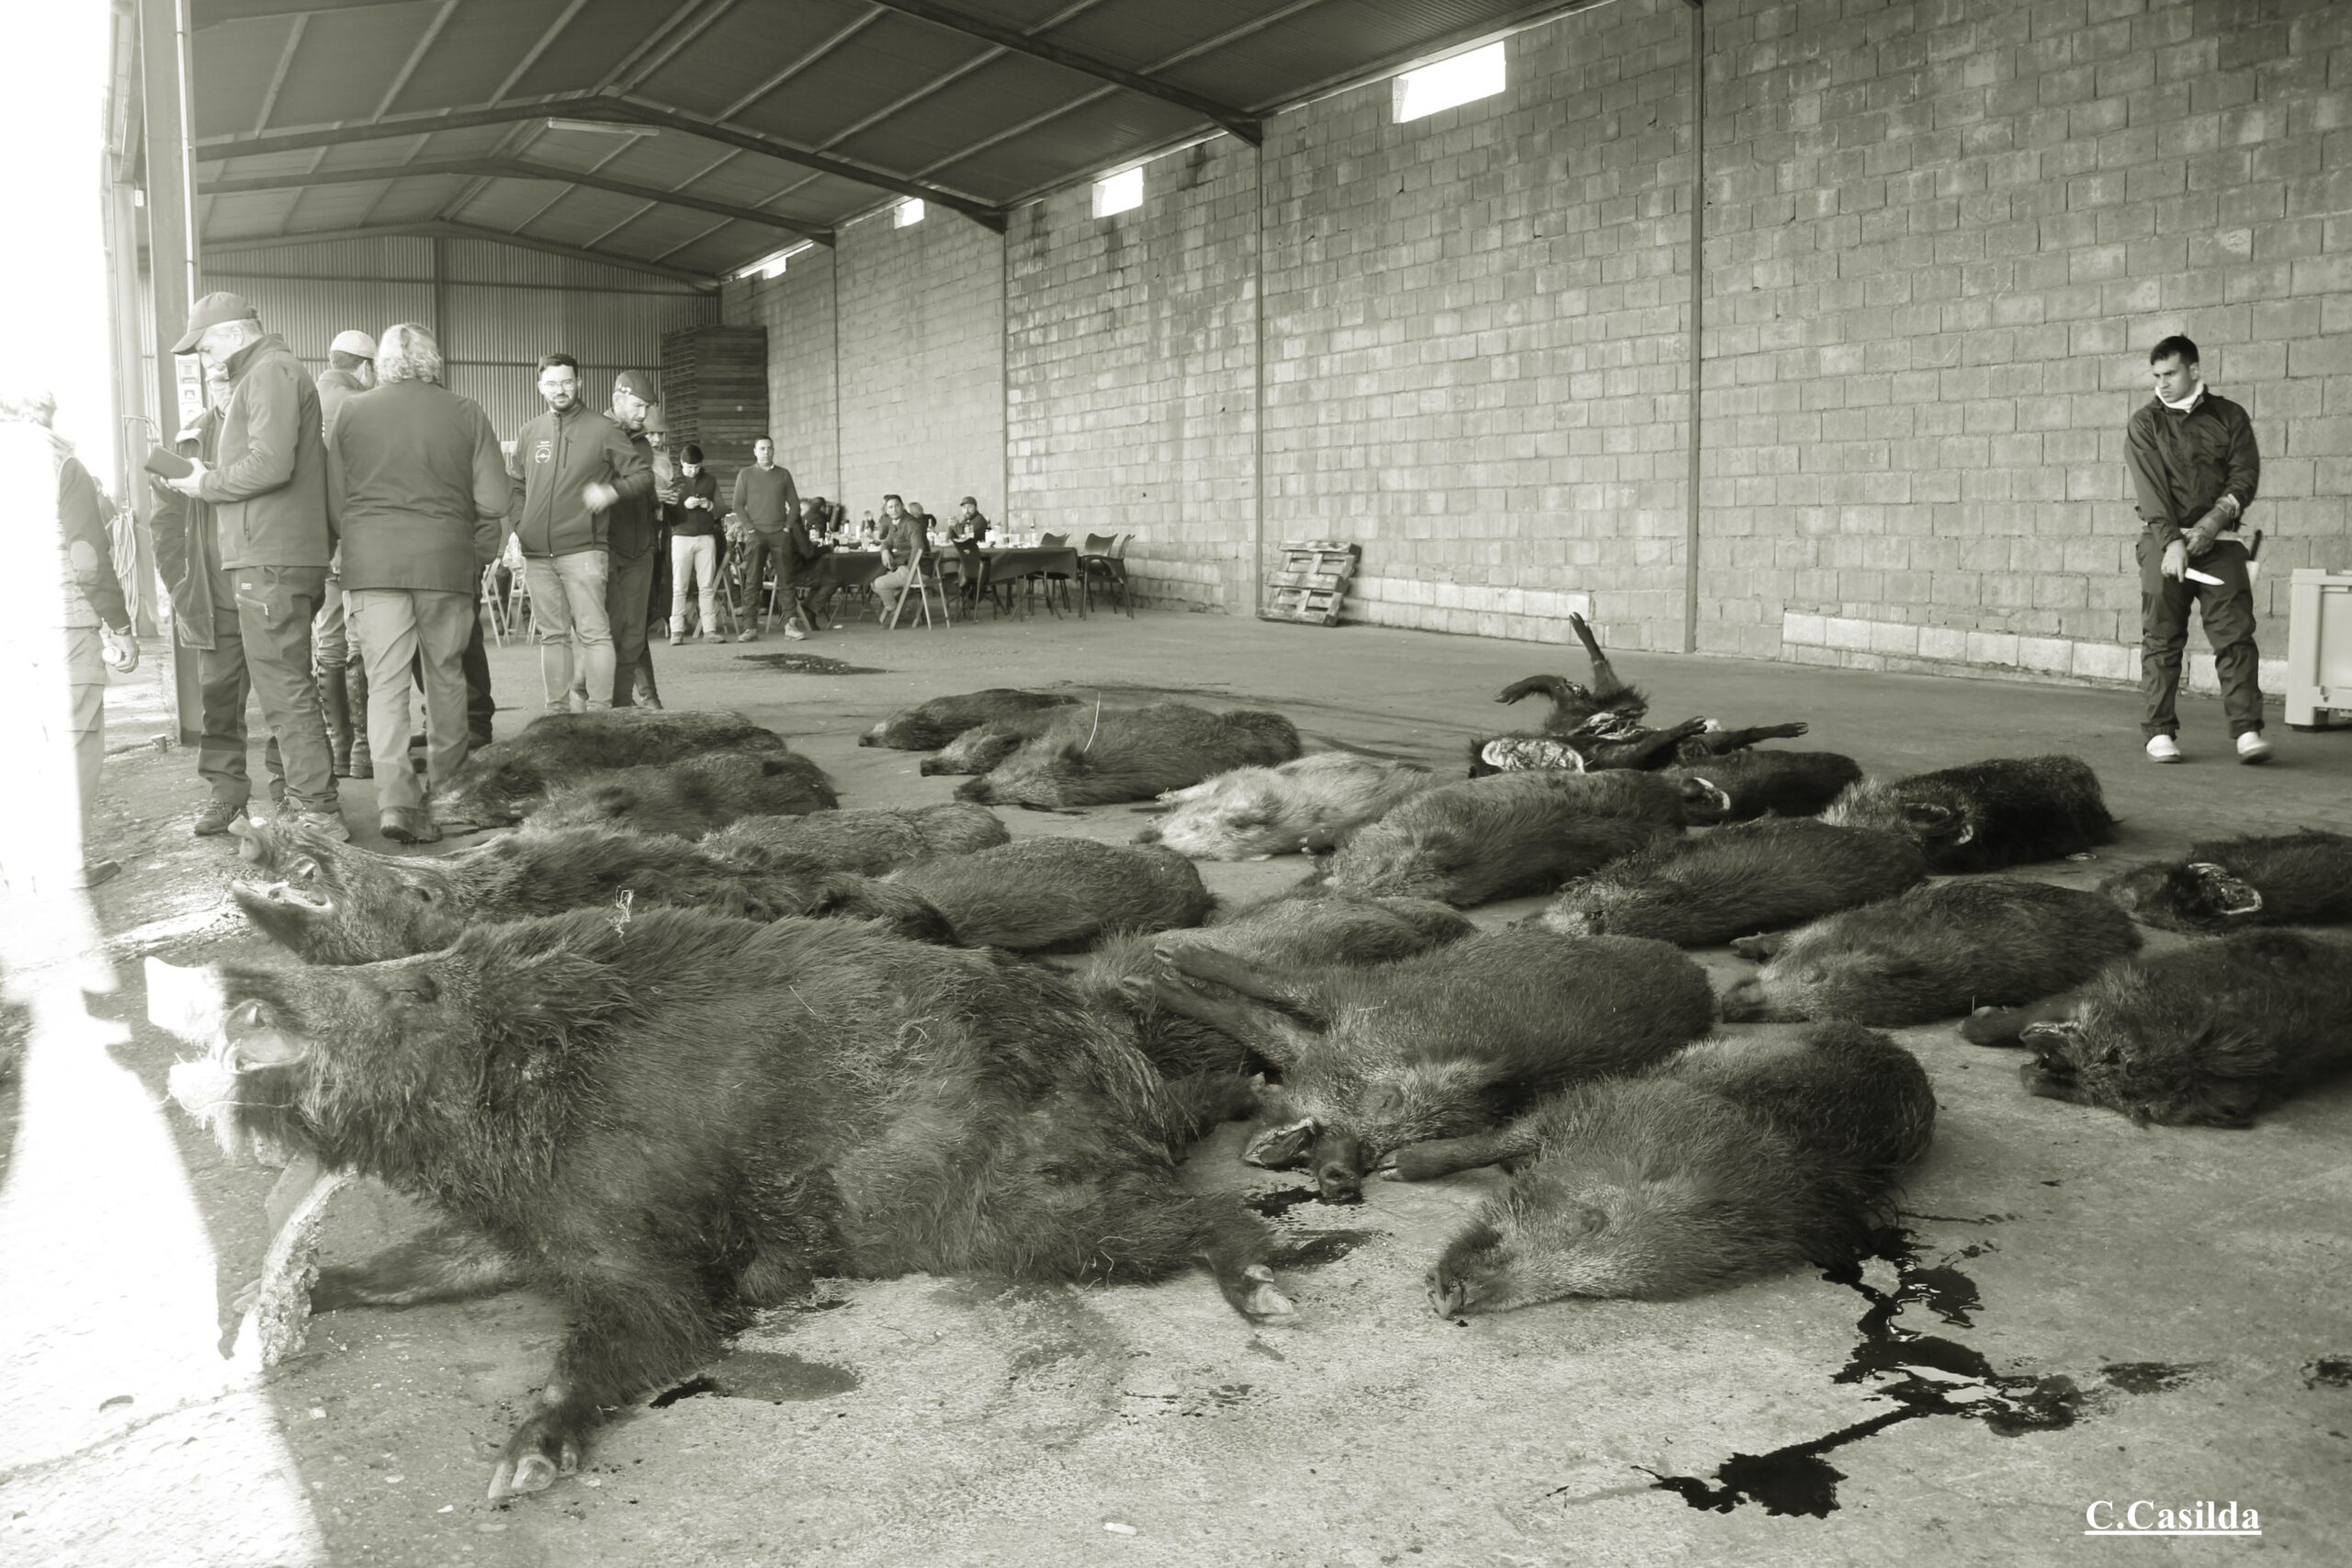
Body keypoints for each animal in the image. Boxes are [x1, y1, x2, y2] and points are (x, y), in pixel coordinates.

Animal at [154, 908, 1295, 1502]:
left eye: (413, 990)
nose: (206, 971)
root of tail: (1113, 1047)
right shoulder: (524, 1231)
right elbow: (403, 1274)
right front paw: (264, 1321)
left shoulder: (639, 1249)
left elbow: (627, 1342)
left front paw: (520, 1469)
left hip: (1020, 1208)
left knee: (1214, 1217)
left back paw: (1270, 1290)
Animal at [1135, 927, 1716, 1199]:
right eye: (1387, 1100)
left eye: (1383, 1153)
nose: (1344, 1181)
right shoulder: (1365, 991)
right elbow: (1268, 991)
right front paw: (1159, 971)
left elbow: (1261, 1022)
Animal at [1419, 1023, 1935, 1313]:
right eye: (1591, 1221)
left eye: (1590, 1292)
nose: (1449, 1300)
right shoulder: (1594, 1099)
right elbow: (1497, 1138)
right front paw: (1403, 1165)